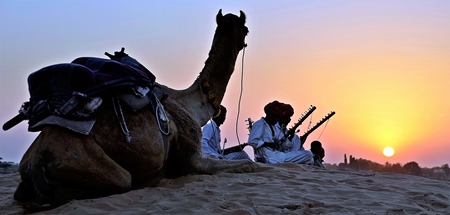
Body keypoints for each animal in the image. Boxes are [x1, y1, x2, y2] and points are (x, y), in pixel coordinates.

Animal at [12, 9, 255, 209]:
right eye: (245, 29)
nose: (244, 41)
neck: (192, 104)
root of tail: (36, 160)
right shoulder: (192, 158)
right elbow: (247, 165)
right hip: (89, 163)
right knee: (118, 182)